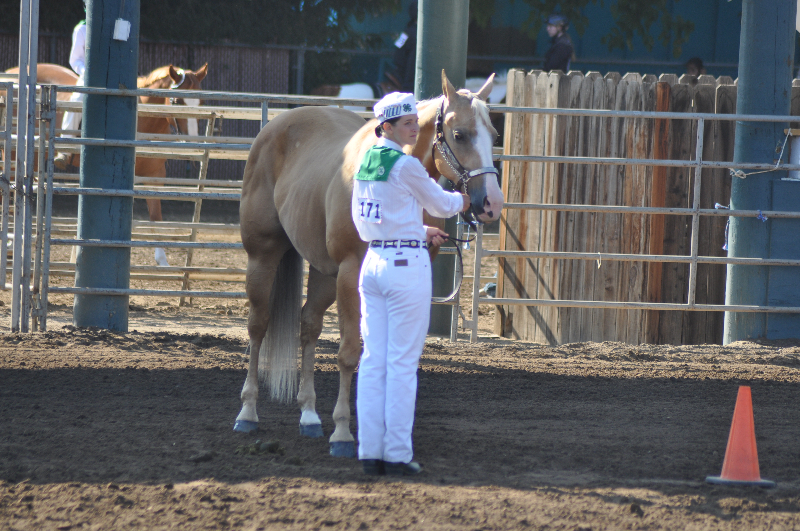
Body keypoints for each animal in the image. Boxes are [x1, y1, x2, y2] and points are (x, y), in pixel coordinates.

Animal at [235, 70, 504, 458]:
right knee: (258, 326)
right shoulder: (351, 276)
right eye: (459, 134)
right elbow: (349, 353)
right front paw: (343, 433)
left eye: (494, 135)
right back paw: (248, 412)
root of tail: (275, 127)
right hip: (264, 257)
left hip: (324, 274)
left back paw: (309, 416)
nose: (490, 204)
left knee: (308, 326)